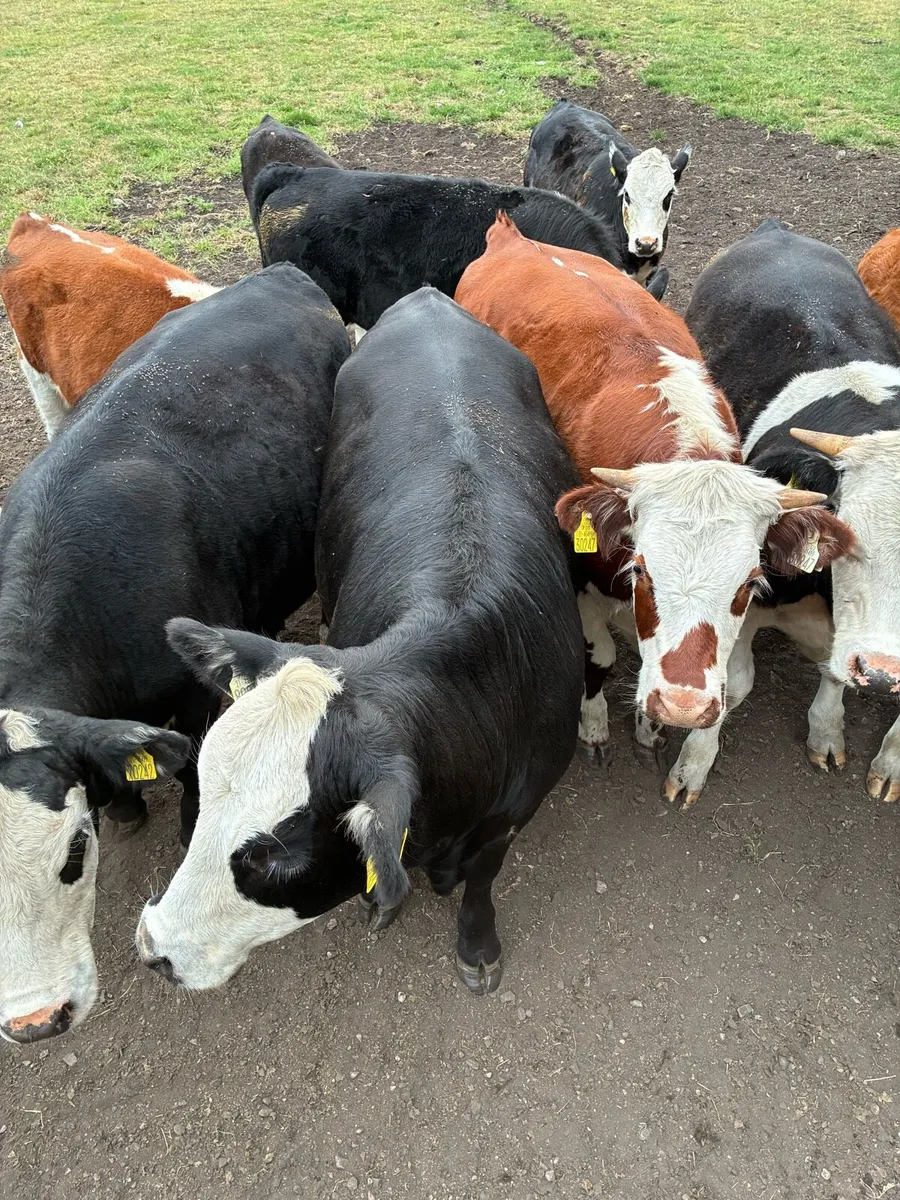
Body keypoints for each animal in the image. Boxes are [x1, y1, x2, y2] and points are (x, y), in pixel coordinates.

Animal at [0, 264, 348, 1042]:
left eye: (75, 850)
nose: (34, 1021)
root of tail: (282, 273)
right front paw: (129, 804)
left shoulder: (191, 696)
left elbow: (191, 769)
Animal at [135, 288, 584, 998]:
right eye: (202, 791)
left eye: (272, 857)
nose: (154, 946)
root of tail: (428, 299)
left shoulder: (515, 813)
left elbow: (483, 880)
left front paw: (477, 943)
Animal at [456, 214, 853, 810]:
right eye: (641, 570)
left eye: (750, 583)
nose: (683, 705)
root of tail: (513, 236)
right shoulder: (579, 581)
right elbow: (597, 658)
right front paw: (595, 727)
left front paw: (652, 728)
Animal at [687, 218, 900, 800]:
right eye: (845, 536)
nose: (882, 671)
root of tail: (775, 230)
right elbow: (734, 681)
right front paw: (693, 762)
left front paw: (838, 737)